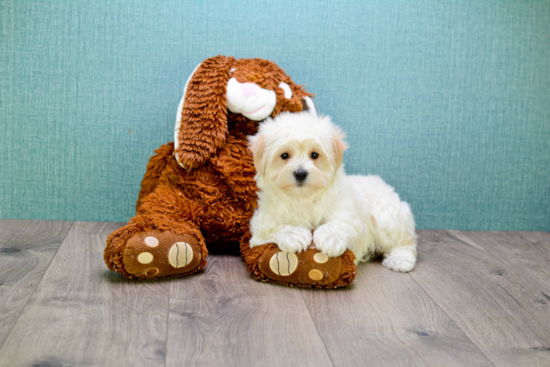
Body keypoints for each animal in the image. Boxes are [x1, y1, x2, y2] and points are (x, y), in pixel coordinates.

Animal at [249, 112, 418, 274]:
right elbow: (272, 228)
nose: (300, 173)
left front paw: (329, 238)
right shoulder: (261, 224)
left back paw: (400, 260)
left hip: (387, 215)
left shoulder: (349, 215)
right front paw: (294, 235)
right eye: (284, 155)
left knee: (404, 241)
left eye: (314, 155)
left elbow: (340, 223)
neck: (303, 198)